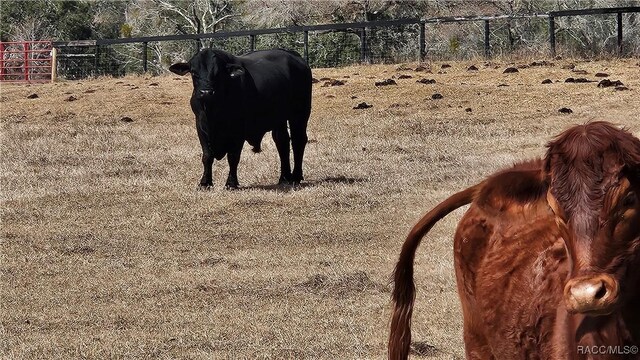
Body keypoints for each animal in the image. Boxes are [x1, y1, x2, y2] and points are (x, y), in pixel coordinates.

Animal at [169, 49, 312, 190]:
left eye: (217, 73)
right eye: (193, 72)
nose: (206, 92)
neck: (213, 111)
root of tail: (294, 56)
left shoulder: (238, 130)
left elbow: (233, 157)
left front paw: (231, 183)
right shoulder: (201, 126)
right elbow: (207, 156)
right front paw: (205, 183)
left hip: (300, 114)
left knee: (298, 141)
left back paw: (296, 177)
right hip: (280, 119)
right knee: (282, 141)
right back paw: (284, 178)